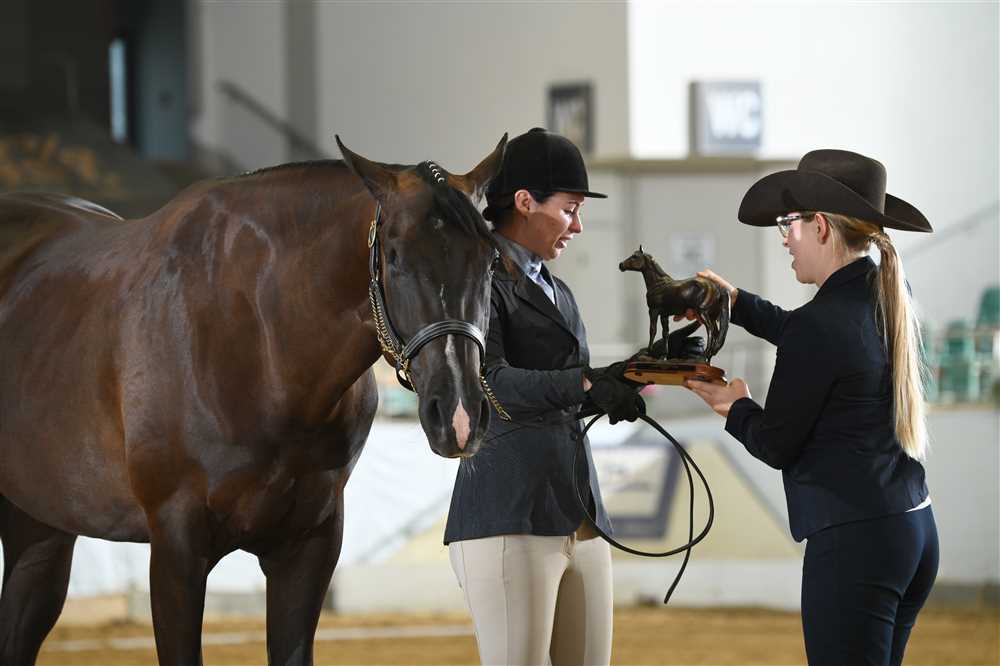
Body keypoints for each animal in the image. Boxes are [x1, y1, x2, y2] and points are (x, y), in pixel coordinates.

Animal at [0, 134, 507, 665]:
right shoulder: (176, 548)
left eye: (490, 261)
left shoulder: (308, 547)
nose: (459, 415)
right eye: (394, 258)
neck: (261, 346)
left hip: (40, 525)